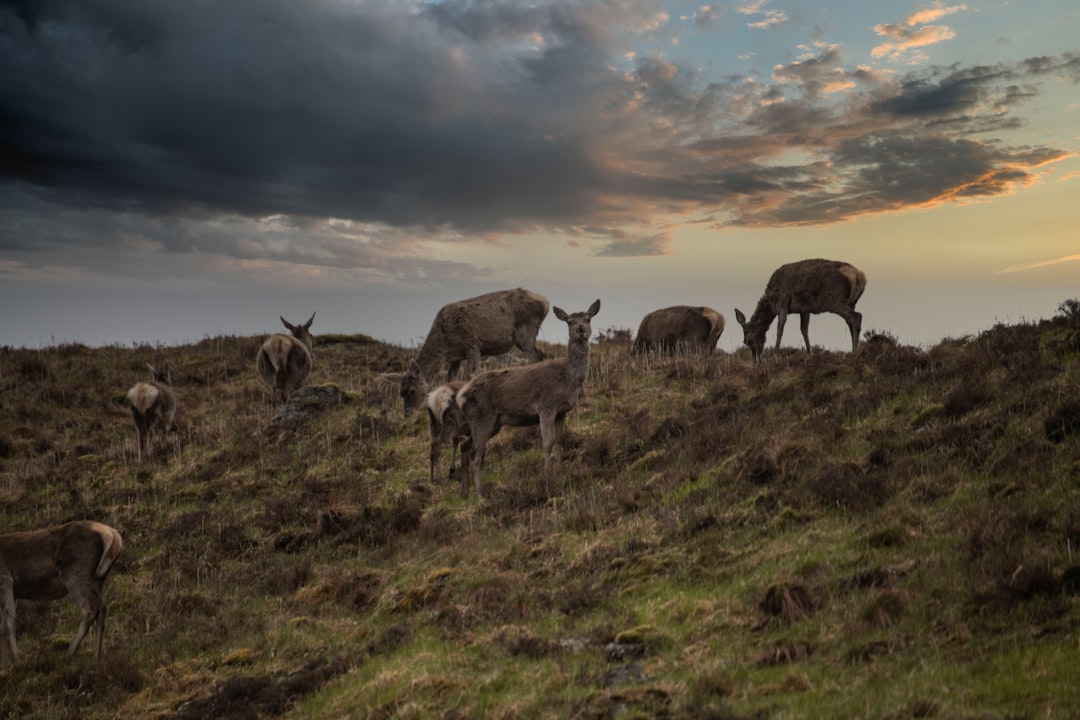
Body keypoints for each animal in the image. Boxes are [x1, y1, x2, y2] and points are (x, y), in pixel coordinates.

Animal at [1, 518, 124, 669]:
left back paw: (69, 654)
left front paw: (16, 660)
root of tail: (114, 537)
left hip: (75, 576)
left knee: (89, 610)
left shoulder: (6, 581)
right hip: (97, 580)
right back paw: (96, 658)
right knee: (102, 608)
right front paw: (4, 665)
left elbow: (9, 623)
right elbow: (2, 627)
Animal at [397, 287, 548, 416]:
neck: (445, 342)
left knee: (538, 356)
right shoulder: (456, 358)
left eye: (412, 390)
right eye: (401, 392)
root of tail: (546, 302)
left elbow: (471, 375)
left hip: (525, 332)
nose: (407, 414)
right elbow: (450, 380)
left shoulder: (472, 343)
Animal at [455, 300, 604, 500]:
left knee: (465, 447)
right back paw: (480, 494)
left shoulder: (562, 412)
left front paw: (561, 470)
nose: (580, 329)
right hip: (483, 418)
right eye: (569, 322)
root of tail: (460, 395)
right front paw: (548, 476)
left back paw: (464, 493)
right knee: (475, 455)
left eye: (588, 318)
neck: (569, 378)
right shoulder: (546, 407)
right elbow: (547, 442)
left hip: (490, 423)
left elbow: (559, 440)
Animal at [730, 257, 864, 360]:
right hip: (851, 302)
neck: (771, 303)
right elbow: (804, 329)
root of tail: (859, 276)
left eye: (748, 341)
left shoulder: (782, 300)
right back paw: (855, 348)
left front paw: (775, 354)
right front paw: (810, 354)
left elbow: (780, 327)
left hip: (834, 300)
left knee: (857, 316)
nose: (756, 360)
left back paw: (855, 352)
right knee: (851, 321)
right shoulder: (804, 309)